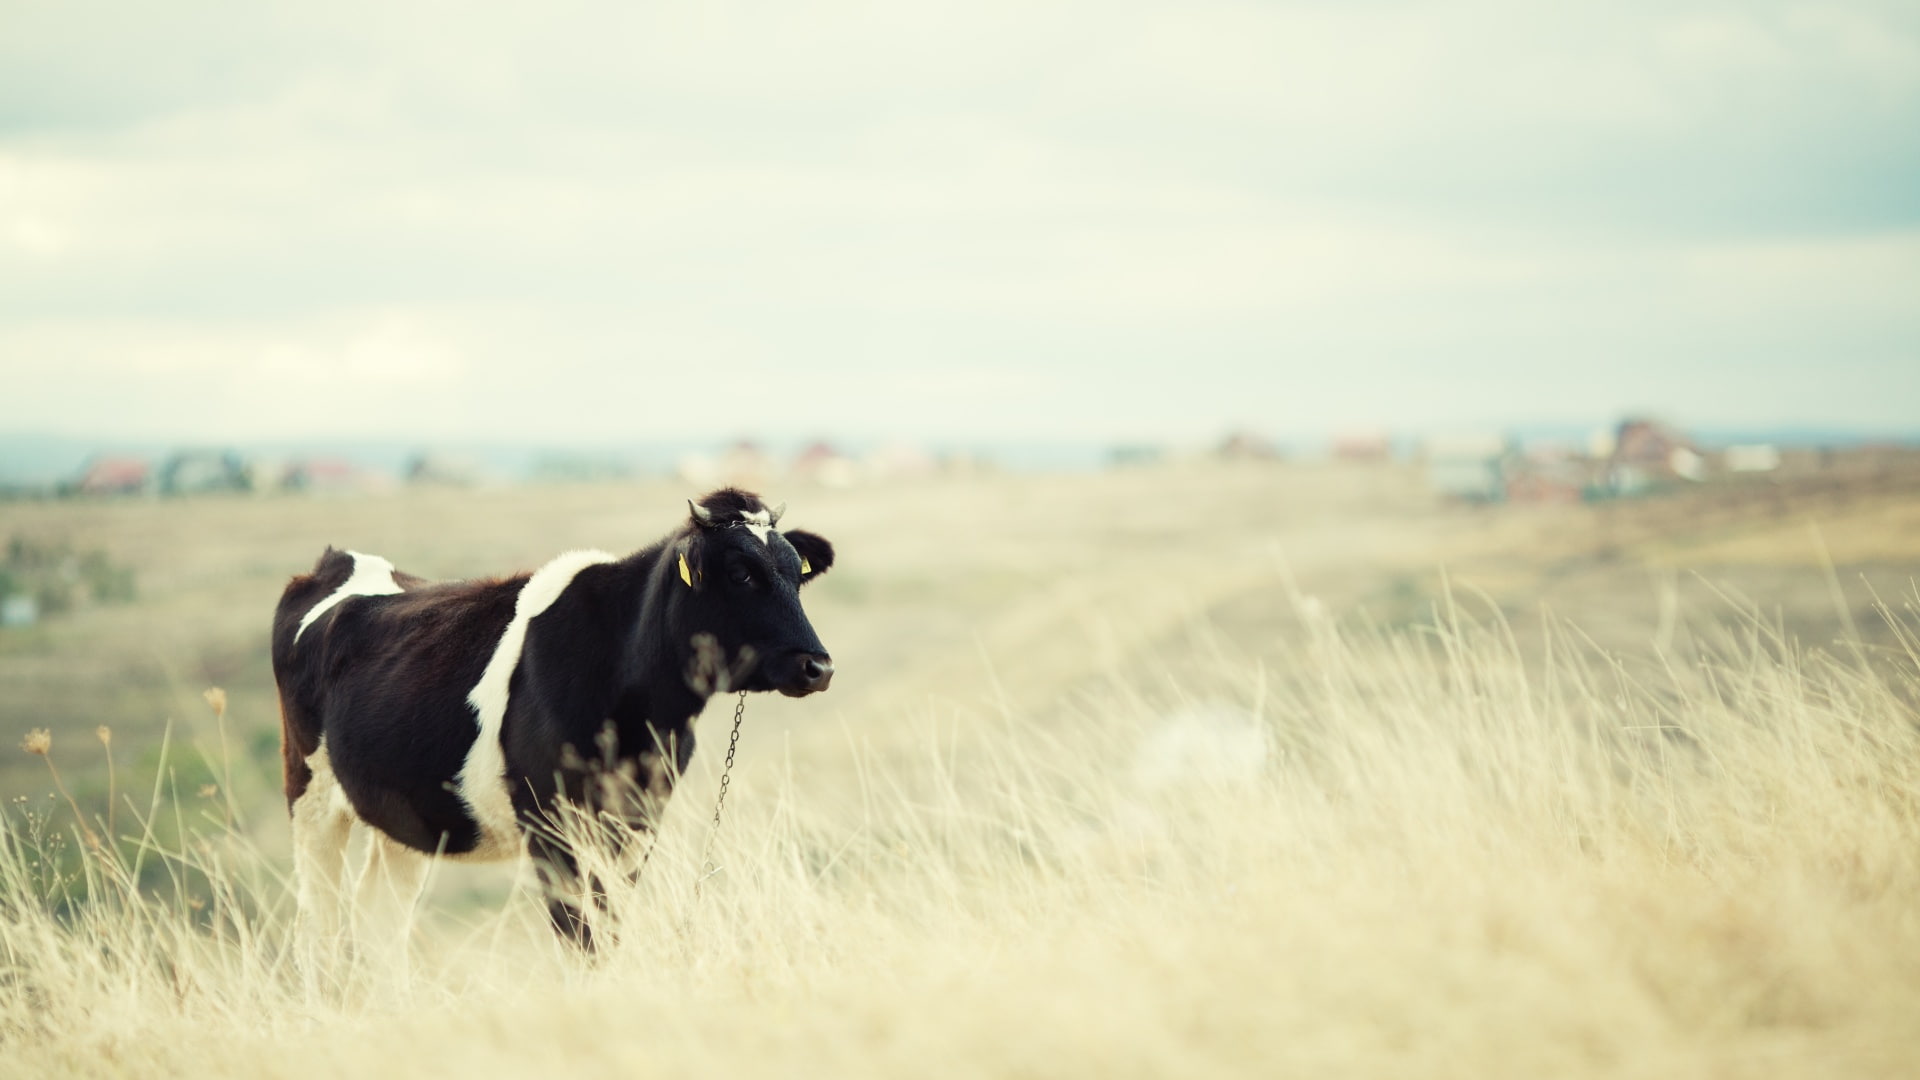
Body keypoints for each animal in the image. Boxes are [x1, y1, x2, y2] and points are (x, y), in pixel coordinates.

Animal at [270, 488, 835, 952]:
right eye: (742, 573)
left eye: (796, 574)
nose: (819, 667)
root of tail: (337, 562)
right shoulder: (549, 819)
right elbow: (579, 933)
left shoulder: (639, 819)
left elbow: (608, 926)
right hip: (311, 797)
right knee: (318, 927)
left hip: (403, 817)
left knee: (379, 921)